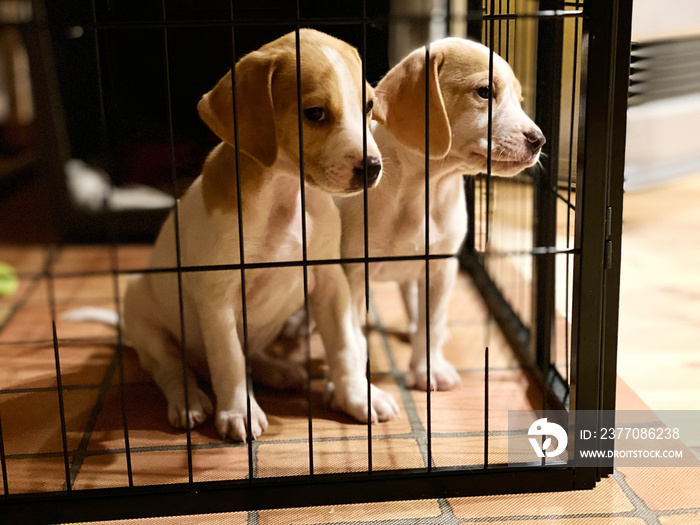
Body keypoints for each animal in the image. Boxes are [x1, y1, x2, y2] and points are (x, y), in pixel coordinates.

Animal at [121, 29, 400, 442]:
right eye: (315, 113)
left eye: (367, 106)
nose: (373, 168)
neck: (284, 196)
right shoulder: (217, 297)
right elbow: (229, 360)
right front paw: (239, 412)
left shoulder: (330, 281)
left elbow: (345, 347)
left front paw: (357, 396)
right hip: (146, 320)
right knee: (172, 368)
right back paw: (189, 401)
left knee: (250, 353)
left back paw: (277, 370)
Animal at [336, 37, 544, 388]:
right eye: (485, 91)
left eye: (519, 99)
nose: (539, 140)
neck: (425, 189)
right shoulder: (351, 274)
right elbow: (351, 333)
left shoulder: (441, 267)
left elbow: (430, 323)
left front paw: (428, 368)